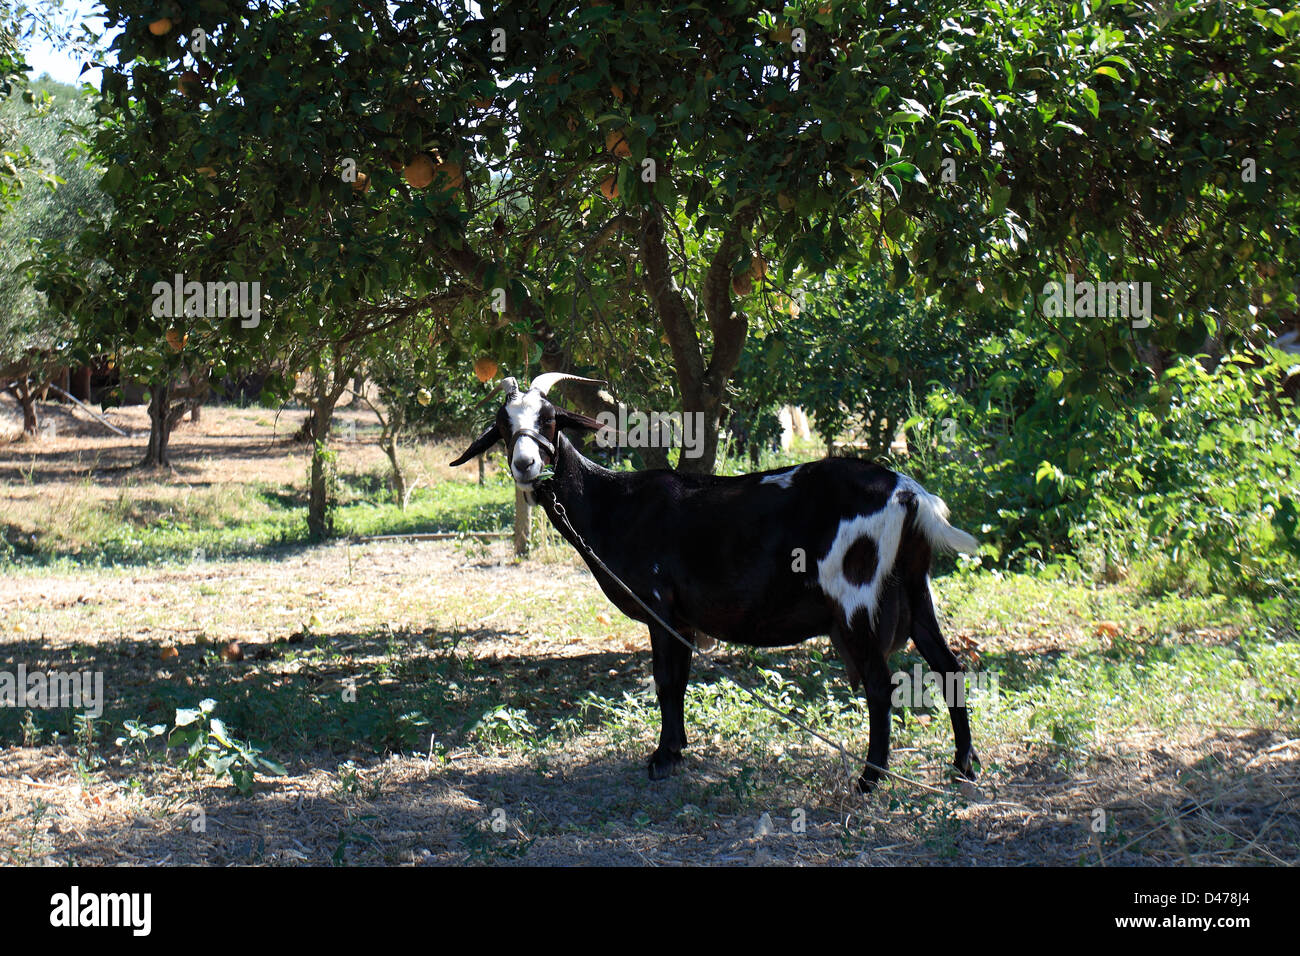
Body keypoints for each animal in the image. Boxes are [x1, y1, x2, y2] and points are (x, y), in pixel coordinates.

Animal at [452, 374, 977, 790]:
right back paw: (963, 768)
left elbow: (665, 680)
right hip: (915, 589)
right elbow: (681, 680)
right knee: (948, 668)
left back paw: (871, 779)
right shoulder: (682, 617)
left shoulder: (660, 607)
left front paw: (662, 758)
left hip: (856, 598)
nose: (525, 464)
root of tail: (909, 493)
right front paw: (678, 749)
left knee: (879, 683)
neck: (613, 502)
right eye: (503, 424)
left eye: (548, 419)